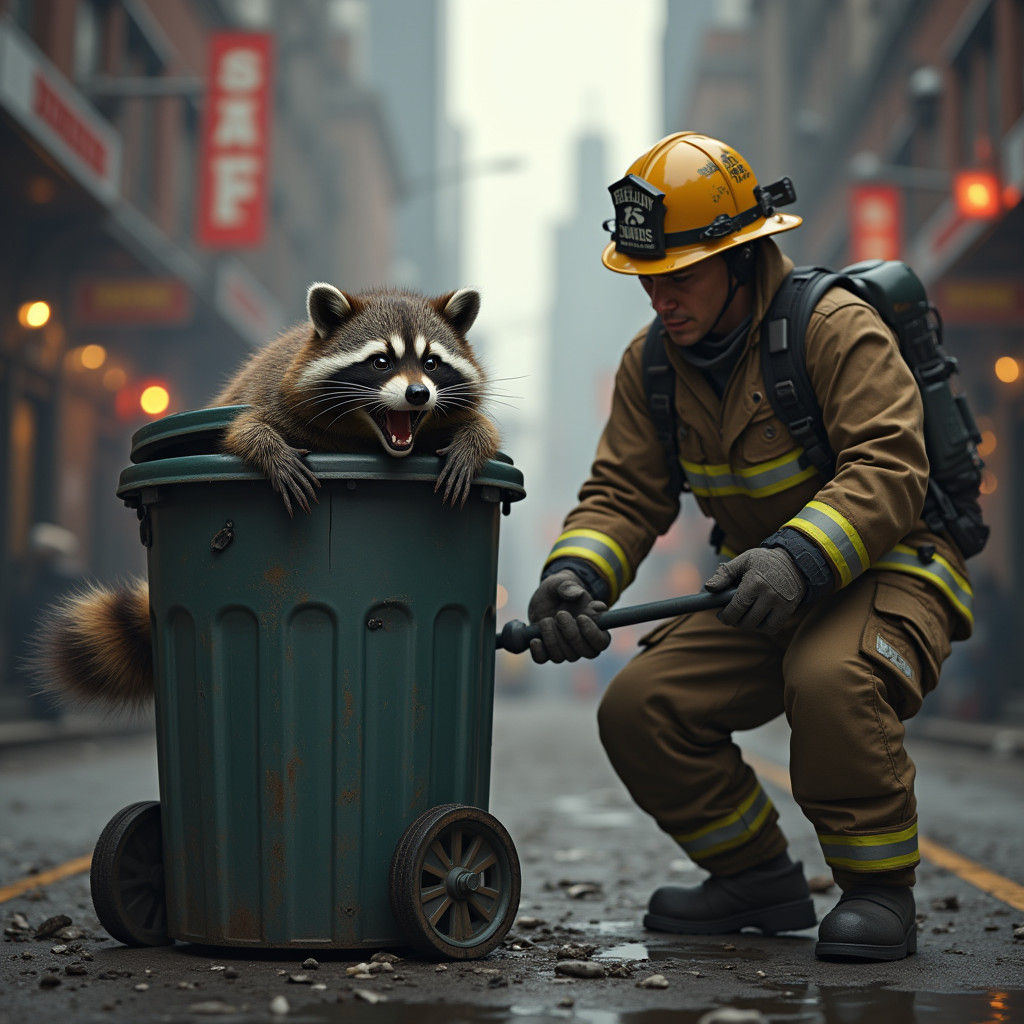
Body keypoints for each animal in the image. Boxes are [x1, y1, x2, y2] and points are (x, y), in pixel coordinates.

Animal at [32, 284, 500, 709]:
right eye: (381, 361)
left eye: (432, 363)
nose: (418, 394)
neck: (369, 437)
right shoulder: (273, 397)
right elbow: (241, 428)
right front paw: (267, 446)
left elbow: (481, 425)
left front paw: (473, 438)